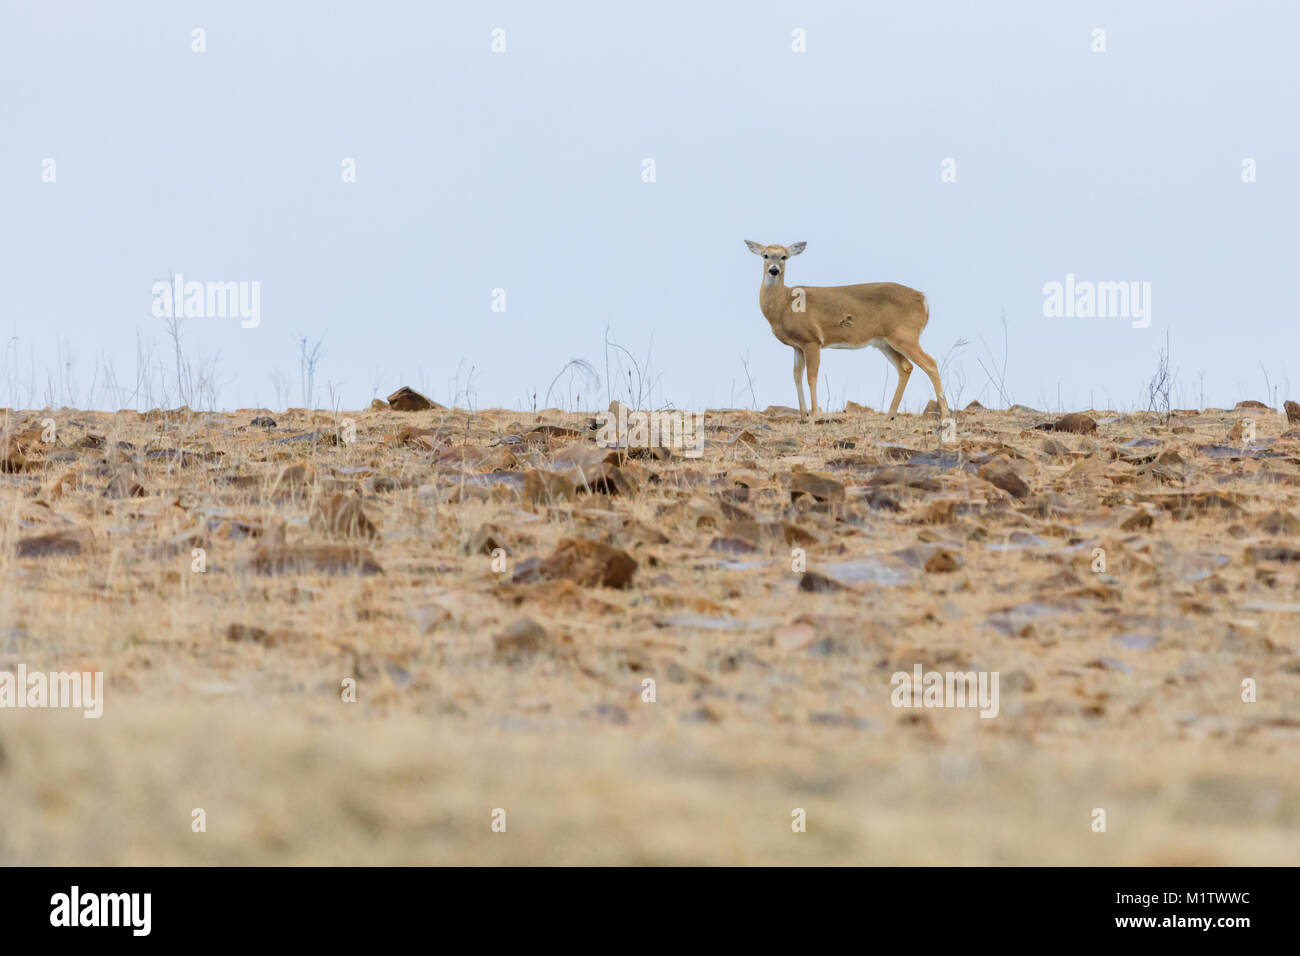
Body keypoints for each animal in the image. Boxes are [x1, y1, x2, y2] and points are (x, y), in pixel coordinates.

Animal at [744, 241, 949, 423]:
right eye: (765, 255)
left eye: (784, 256)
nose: (773, 270)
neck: (784, 304)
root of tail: (924, 300)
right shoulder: (797, 346)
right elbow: (796, 376)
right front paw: (803, 417)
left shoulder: (812, 340)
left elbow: (812, 376)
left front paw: (815, 416)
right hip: (885, 342)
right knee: (906, 367)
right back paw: (890, 415)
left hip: (906, 335)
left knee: (930, 363)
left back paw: (945, 415)